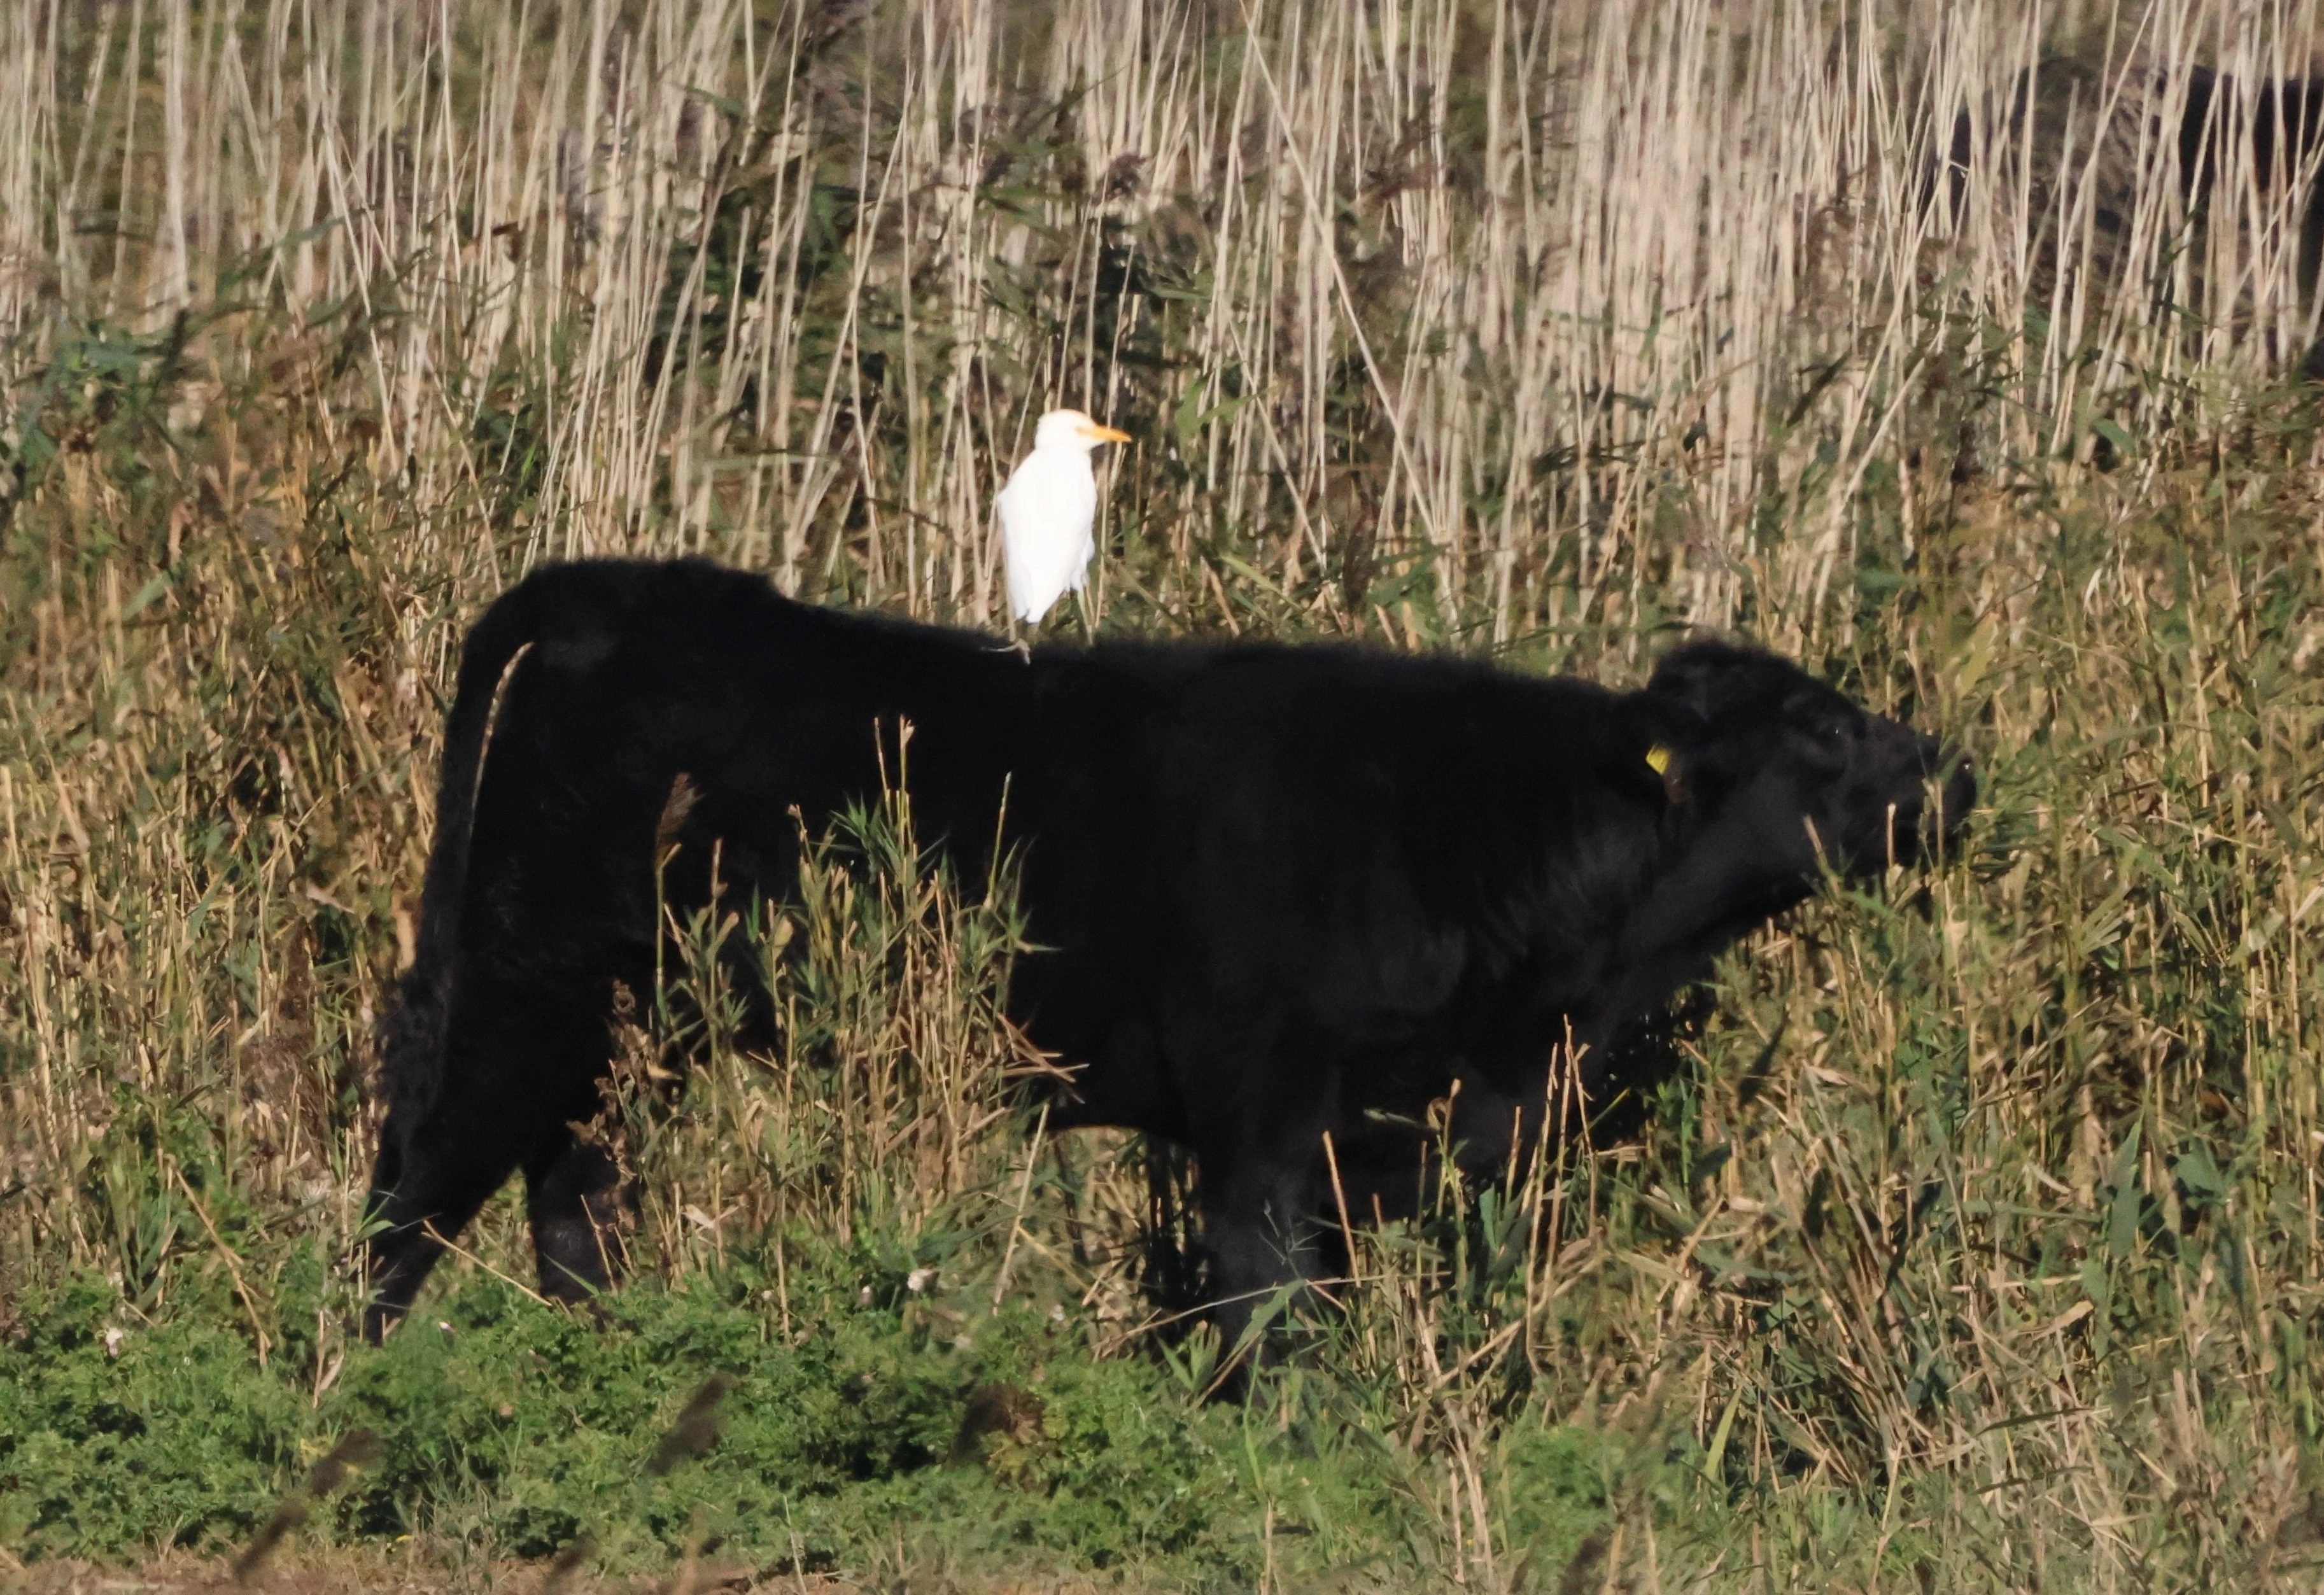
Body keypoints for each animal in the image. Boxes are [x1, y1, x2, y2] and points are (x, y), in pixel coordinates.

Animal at [360, 558, 1975, 1344]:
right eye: (1820, 726)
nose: (1955, 771)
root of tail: (625, 585)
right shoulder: (1263, 1110)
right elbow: (1265, 1307)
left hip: (631, 1026)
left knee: (574, 1190)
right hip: (529, 986)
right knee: (420, 1179)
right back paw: (353, 1392)